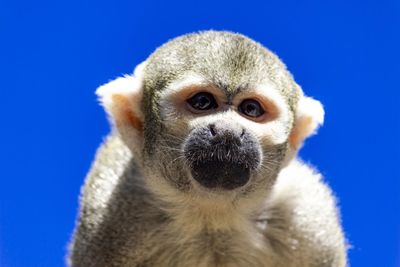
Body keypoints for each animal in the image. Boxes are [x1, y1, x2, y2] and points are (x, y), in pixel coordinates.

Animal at [68, 30, 346, 267]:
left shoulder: (309, 218)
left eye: (251, 109)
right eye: (202, 102)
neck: (211, 213)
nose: (228, 133)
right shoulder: (108, 210)